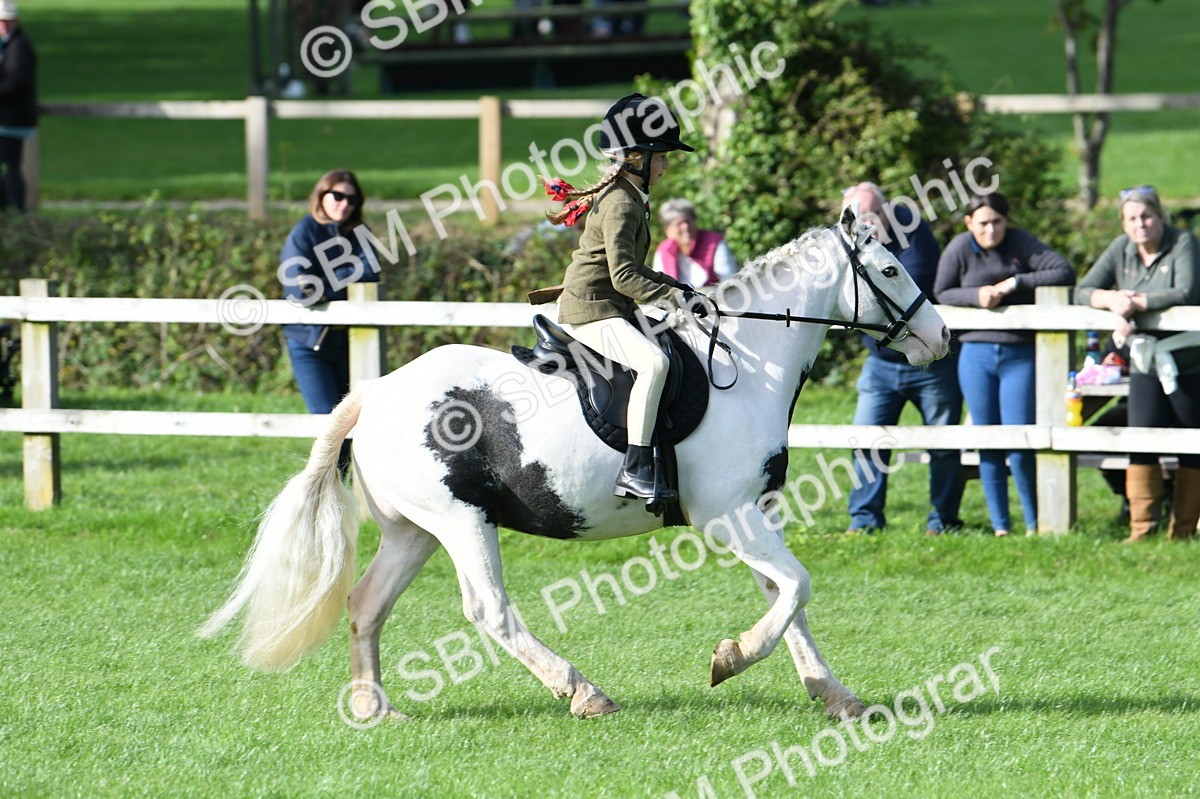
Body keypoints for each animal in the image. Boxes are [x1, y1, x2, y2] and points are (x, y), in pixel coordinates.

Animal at [200, 204, 950, 723]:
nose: (941, 337)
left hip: (416, 531)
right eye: (889, 269)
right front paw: (730, 658)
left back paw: (374, 708)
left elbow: (786, 597)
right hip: (461, 521)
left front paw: (837, 695)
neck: (748, 361)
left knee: (366, 605)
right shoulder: (728, 515)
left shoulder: (753, 514)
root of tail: (375, 393)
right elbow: (796, 587)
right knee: (489, 610)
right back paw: (583, 692)